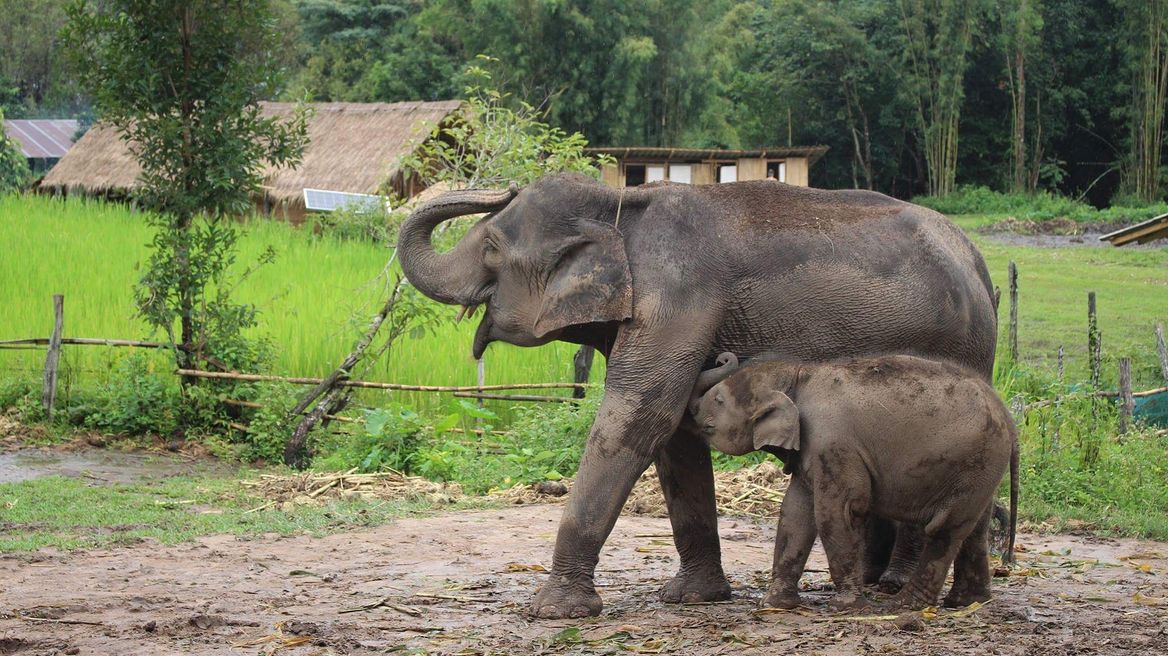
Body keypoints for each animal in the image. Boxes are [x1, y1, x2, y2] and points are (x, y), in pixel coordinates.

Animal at [689, 353, 1017, 610]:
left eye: (718, 399)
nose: (722, 357)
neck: (798, 375)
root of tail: (1008, 417)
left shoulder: (833, 443)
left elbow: (837, 512)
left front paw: (844, 606)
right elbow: (795, 513)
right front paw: (775, 605)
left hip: (976, 461)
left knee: (945, 529)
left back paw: (905, 605)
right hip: (981, 471)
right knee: (975, 528)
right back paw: (967, 603)